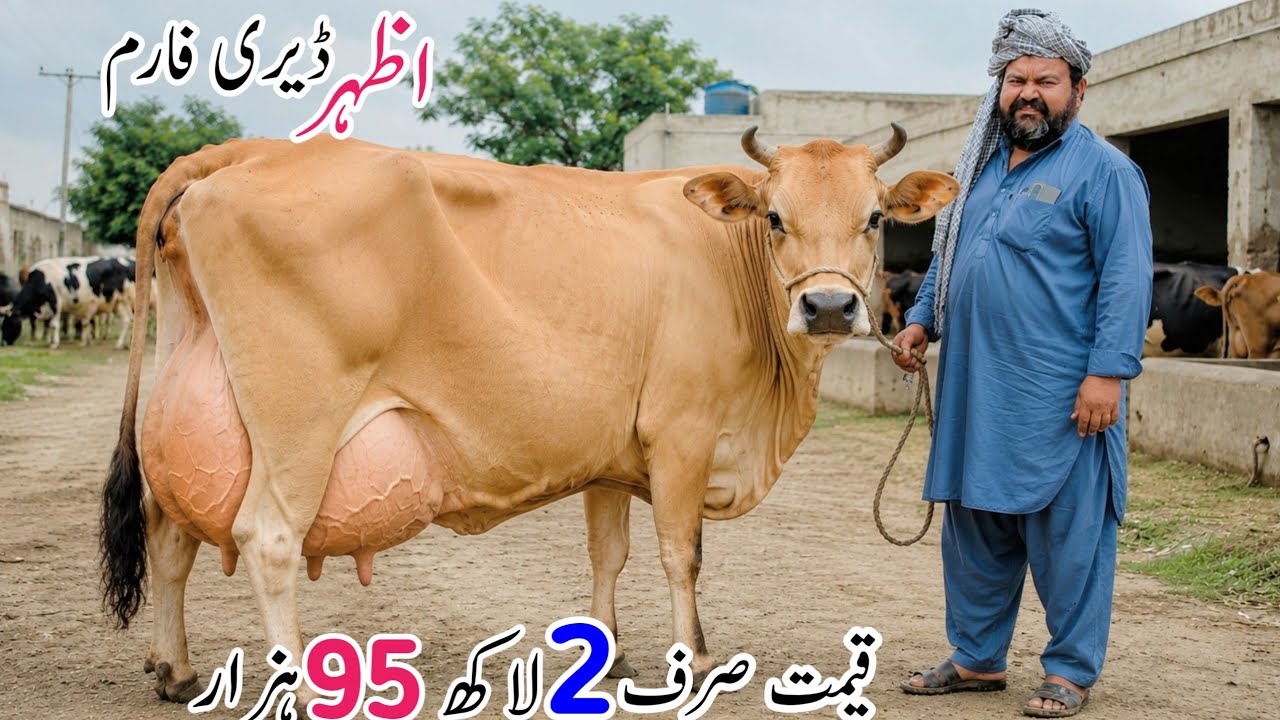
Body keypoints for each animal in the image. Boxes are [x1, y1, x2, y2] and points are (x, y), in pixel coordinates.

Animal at [100, 127, 959, 702]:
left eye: (876, 217)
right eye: (775, 218)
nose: (828, 307)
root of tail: (244, 150)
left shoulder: (614, 450)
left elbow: (609, 554)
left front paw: (609, 656)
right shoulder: (680, 434)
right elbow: (681, 556)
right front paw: (693, 661)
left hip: (192, 400)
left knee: (168, 529)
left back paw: (174, 669)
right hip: (296, 421)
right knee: (268, 538)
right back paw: (305, 691)